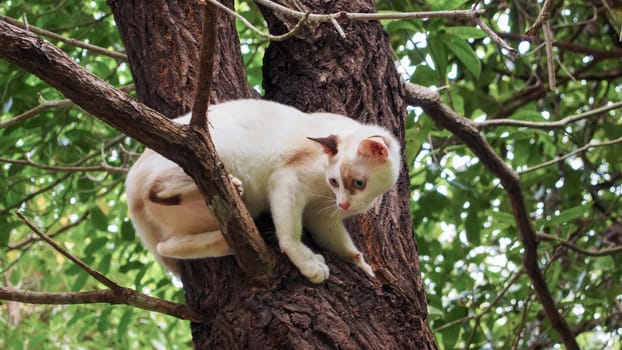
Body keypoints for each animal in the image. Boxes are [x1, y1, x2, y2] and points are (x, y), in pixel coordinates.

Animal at [124, 97, 402, 284]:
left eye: (358, 183)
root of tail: (130, 185)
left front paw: (362, 264)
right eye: (335, 181)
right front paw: (308, 262)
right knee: (160, 188)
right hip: (209, 154)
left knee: (166, 246)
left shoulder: (322, 218)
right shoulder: (287, 181)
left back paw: (225, 241)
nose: (343, 204)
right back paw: (231, 183)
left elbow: (343, 245)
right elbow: (289, 236)